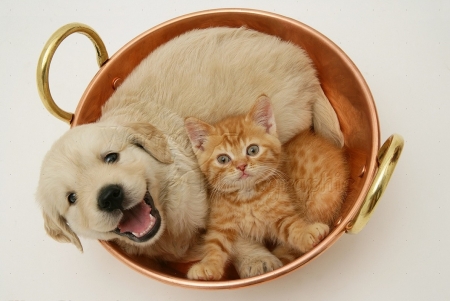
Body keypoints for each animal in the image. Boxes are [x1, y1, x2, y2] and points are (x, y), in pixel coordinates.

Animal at [183, 95, 348, 278]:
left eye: (252, 150)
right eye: (223, 159)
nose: (241, 166)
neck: (247, 198)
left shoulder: (282, 213)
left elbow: (293, 226)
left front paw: (306, 233)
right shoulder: (221, 223)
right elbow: (214, 244)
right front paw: (208, 266)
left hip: (322, 199)